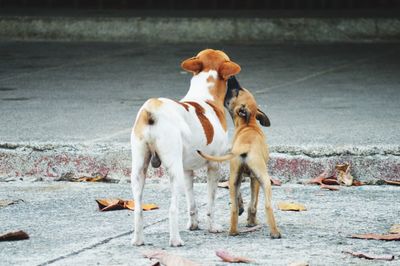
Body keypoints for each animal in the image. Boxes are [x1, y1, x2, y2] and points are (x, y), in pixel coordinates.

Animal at [131, 48, 241, 246]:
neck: (205, 97)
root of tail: (152, 109)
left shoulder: (187, 171)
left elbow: (192, 203)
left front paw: (193, 224)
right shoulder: (213, 167)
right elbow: (210, 203)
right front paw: (212, 227)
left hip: (138, 171)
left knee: (138, 208)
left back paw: (138, 240)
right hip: (174, 173)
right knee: (173, 209)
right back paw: (175, 240)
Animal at [198, 76, 280, 238]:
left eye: (237, 92)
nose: (231, 78)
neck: (248, 125)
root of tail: (245, 147)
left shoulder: (240, 176)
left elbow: (240, 198)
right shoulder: (254, 179)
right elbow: (253, 204)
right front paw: (251, 221)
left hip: (237, 176)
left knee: (234, 208)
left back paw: (234, 231)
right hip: (262, 178)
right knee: (266, 205)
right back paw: (272, 232)